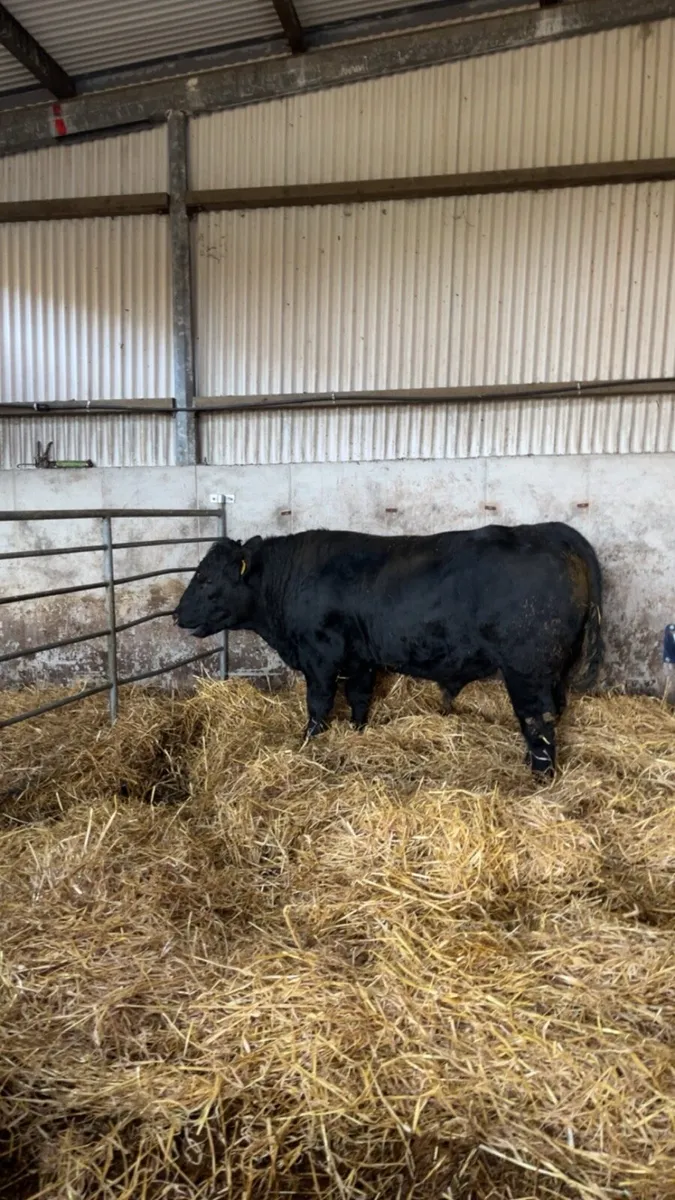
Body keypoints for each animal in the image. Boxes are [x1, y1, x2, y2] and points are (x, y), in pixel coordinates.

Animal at [174, 523, 603, 776]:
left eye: (206, 579)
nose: (176, 614)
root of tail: (550, 530)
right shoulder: (361, 658)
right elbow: (359, 698)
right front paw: (357, 734)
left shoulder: (319, 656)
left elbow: (318, 704)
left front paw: (307, 743)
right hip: (557, 669)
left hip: (528, 669)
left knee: (538, 720)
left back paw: (539, 776)